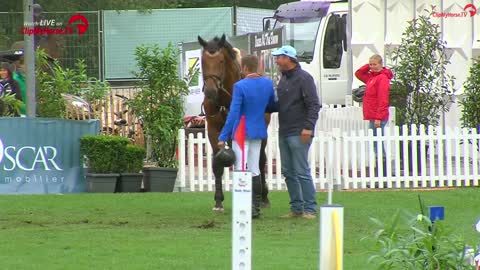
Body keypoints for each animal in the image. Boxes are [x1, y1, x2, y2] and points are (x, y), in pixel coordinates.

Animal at [198, 34, 272, 211]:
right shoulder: (213, 131)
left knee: (261, 161)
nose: (210, 91)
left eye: (221, 61)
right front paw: (218, 200)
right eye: (203, 61)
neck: (225, 99)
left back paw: (263, 196)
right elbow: (217, 165)